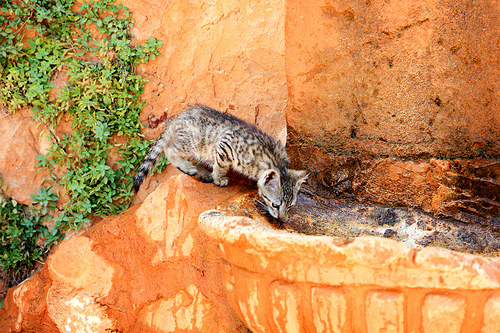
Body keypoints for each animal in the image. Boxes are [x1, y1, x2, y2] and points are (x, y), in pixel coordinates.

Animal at [133, 104, 306, 220]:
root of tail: (178, 118)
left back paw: (201, 172)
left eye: (290, 206)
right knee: (169, 149)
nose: (281, 219)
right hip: (192, 143)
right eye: (275, 205)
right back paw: (188, 167)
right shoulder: (226, 146)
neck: (273, 158)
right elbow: (221, 166)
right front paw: (219, 178)